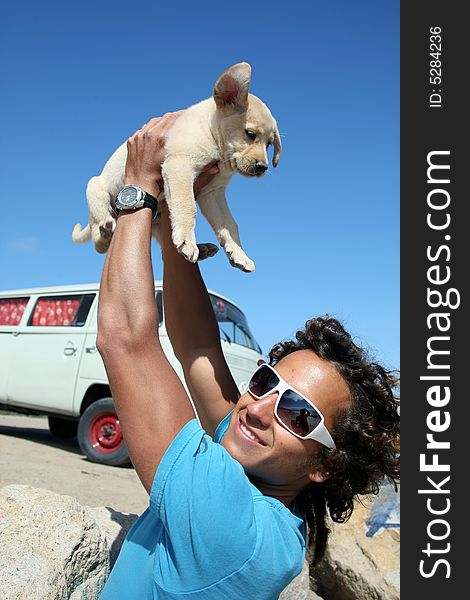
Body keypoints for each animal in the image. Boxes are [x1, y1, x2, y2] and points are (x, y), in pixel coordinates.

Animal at [71, 61, 280, 272]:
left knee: (165, 248)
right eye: (250, 134)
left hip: (157, 223)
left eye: (270, 144)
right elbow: (187, 205)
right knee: (98, 239)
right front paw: (187, 240)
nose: (263, 167)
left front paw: (239, 253)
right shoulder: (180, 165)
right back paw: (105, 231)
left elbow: (229, 223)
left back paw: (202, 249)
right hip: (95, 188)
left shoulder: (212, 193)